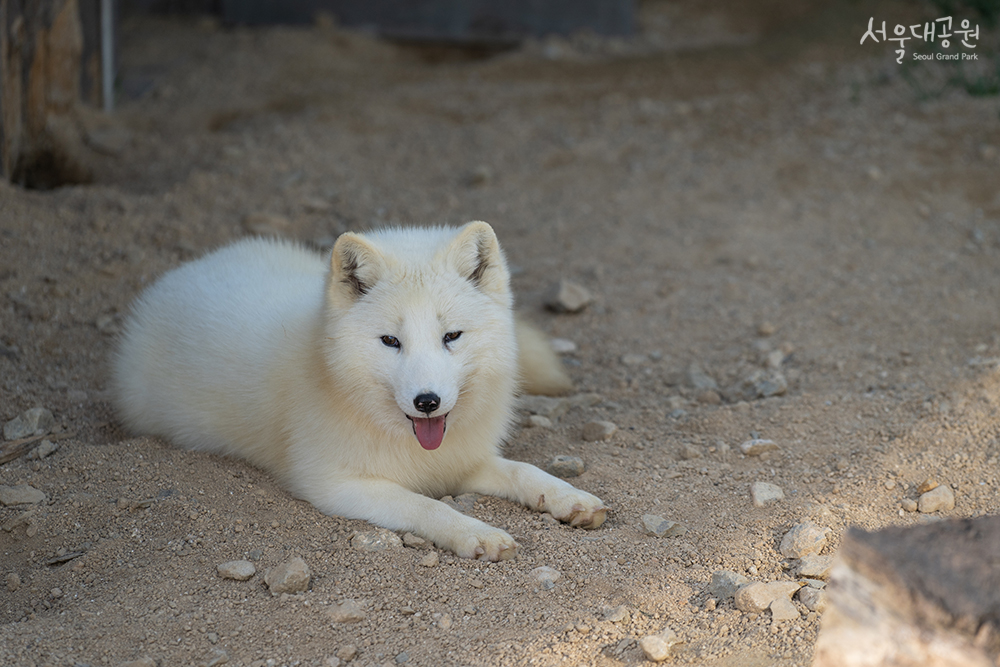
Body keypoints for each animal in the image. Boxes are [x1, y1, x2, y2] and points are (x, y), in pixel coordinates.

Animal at [113, 222, 604, 560]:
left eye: (451, 336)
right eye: (391, 341)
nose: (427, 402)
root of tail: (186, 270)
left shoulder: (462, 461)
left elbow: (525, 471)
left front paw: (570, 498)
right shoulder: (332, 485)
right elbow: (425, 507)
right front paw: (475, 532)